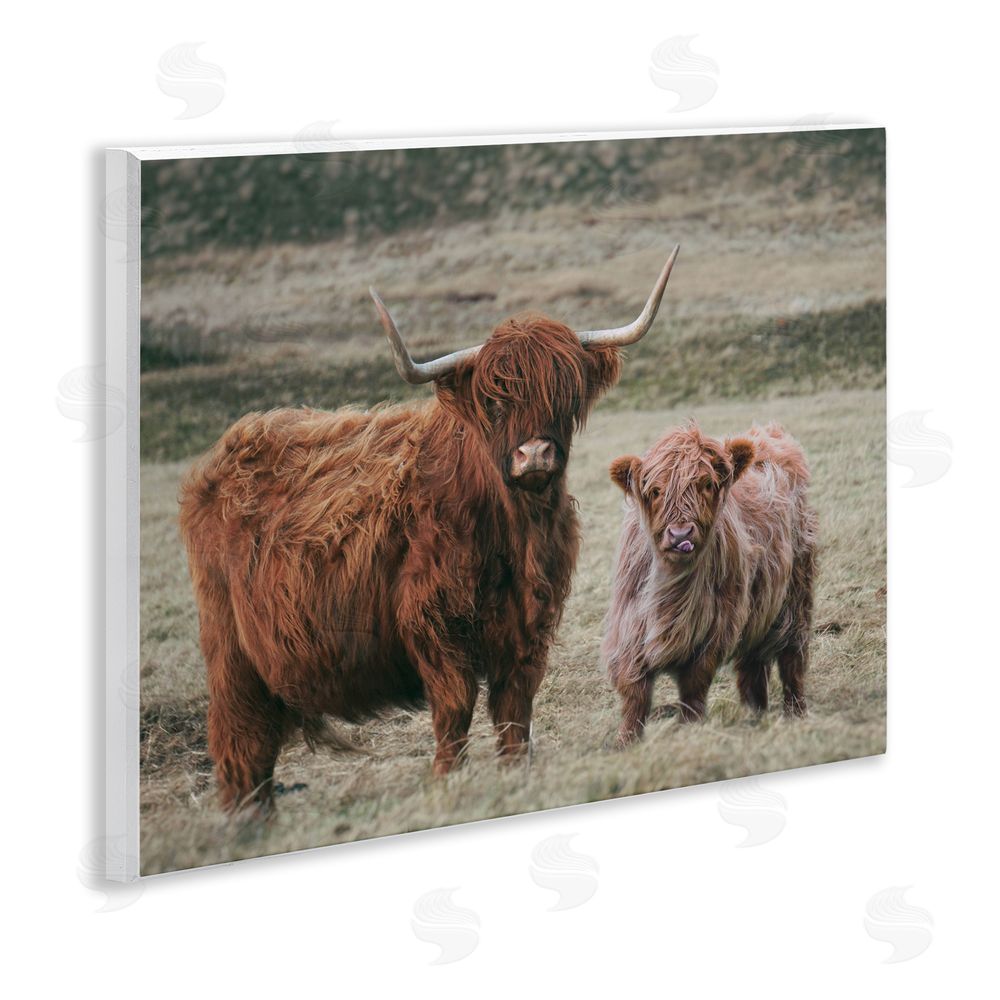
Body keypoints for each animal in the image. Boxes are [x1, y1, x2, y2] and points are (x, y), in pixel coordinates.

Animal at [179, 247, 681, 813]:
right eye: (494, 400)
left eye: (565, 392)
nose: (534, 455)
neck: (513, 533)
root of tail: (227, 451)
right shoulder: (433, 622)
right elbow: (455, 708)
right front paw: (445, 783)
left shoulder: (528, 627)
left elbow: (514, 711)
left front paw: (514, 776)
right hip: (231, 649)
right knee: (239, 741)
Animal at [601, 421, 817, 748]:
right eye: (656, 490)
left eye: (706, 484)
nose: (680, 535)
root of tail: (768, 432)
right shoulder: (629, 628)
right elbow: (634, 693)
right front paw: (626, 742)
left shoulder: (716, 628)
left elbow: (693, 686)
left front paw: (689, 729)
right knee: (752, 665)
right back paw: (755, 715)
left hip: (796, 594)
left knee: (792, 657)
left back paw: (795, 714)